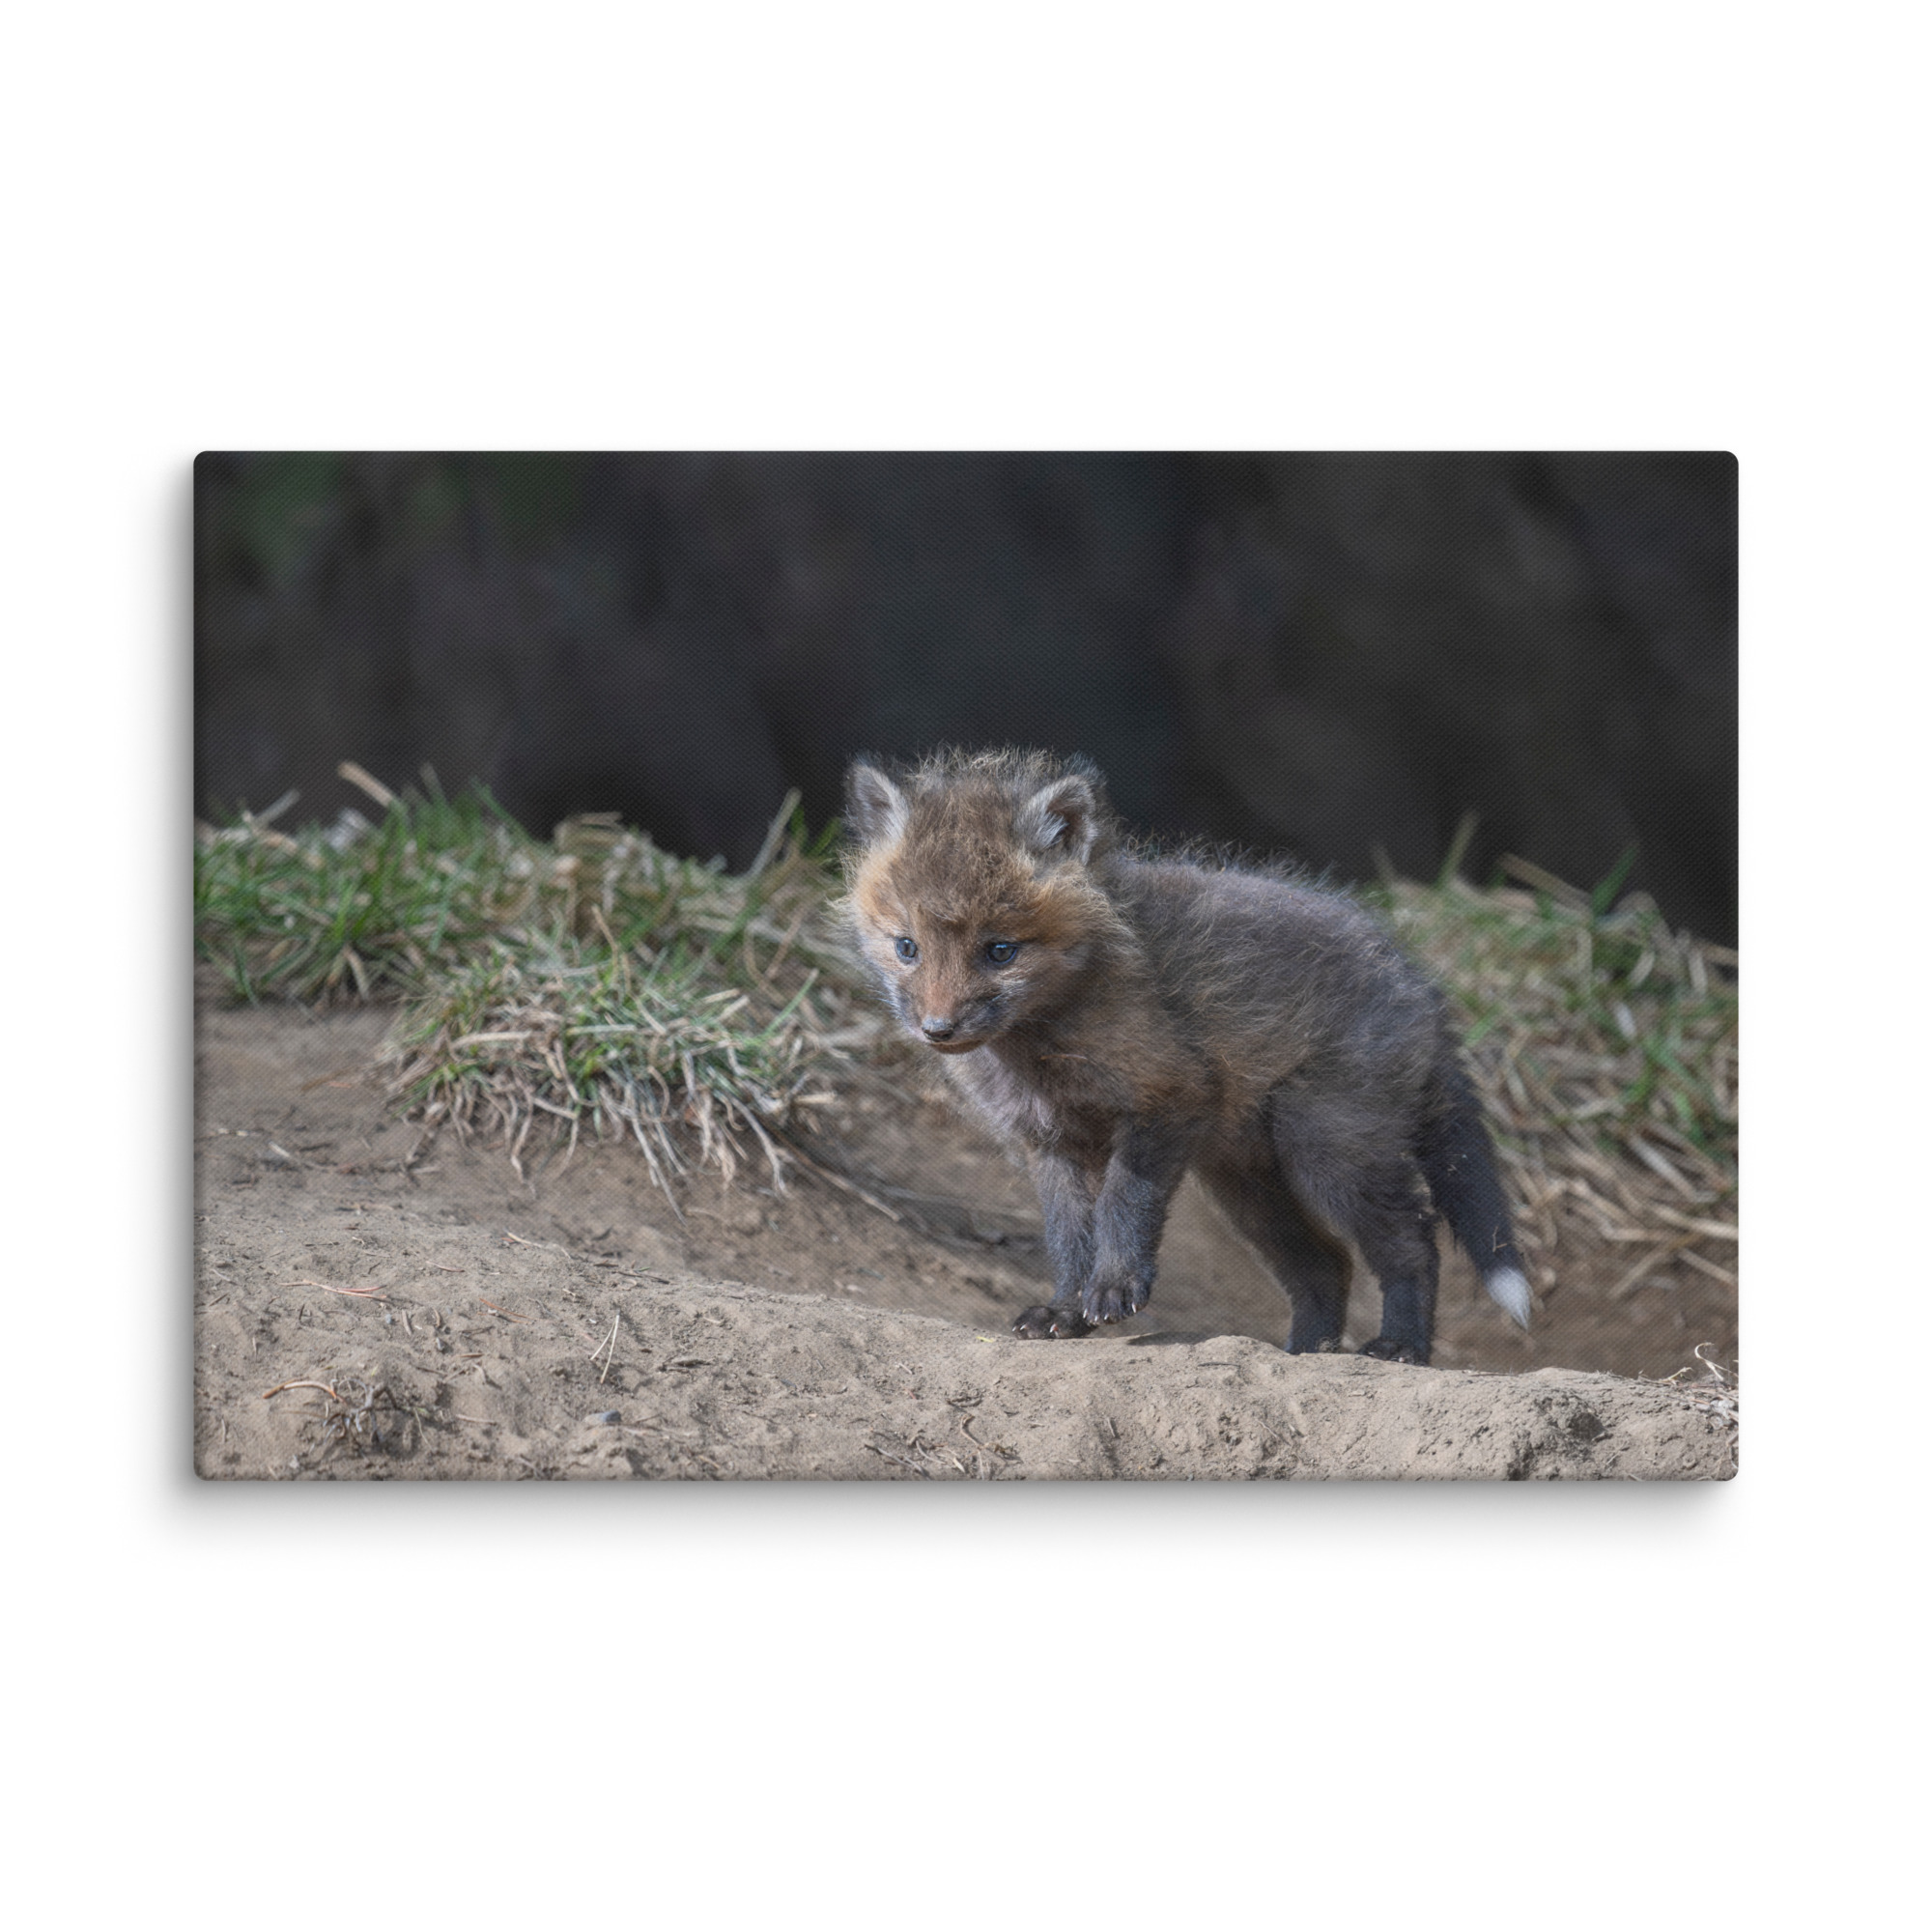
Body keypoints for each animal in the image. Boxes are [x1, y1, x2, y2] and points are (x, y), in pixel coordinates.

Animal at [841, 747, 1534, 1364]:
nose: (937, 1029)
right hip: (1247, 1185)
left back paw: (1401, 1346)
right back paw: (1306, 1352)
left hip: (1329, 1150)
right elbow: (1068, 1238)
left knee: (1413, 1241)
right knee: (1326, 1264)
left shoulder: (1169, 1096)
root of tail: (1420, 984)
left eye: (1000, 951)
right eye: (907, 947)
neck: (1040, 1051)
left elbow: (1123, 1204)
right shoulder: (1050, 1142)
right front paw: (1065, 1311)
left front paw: (1115, 1287)